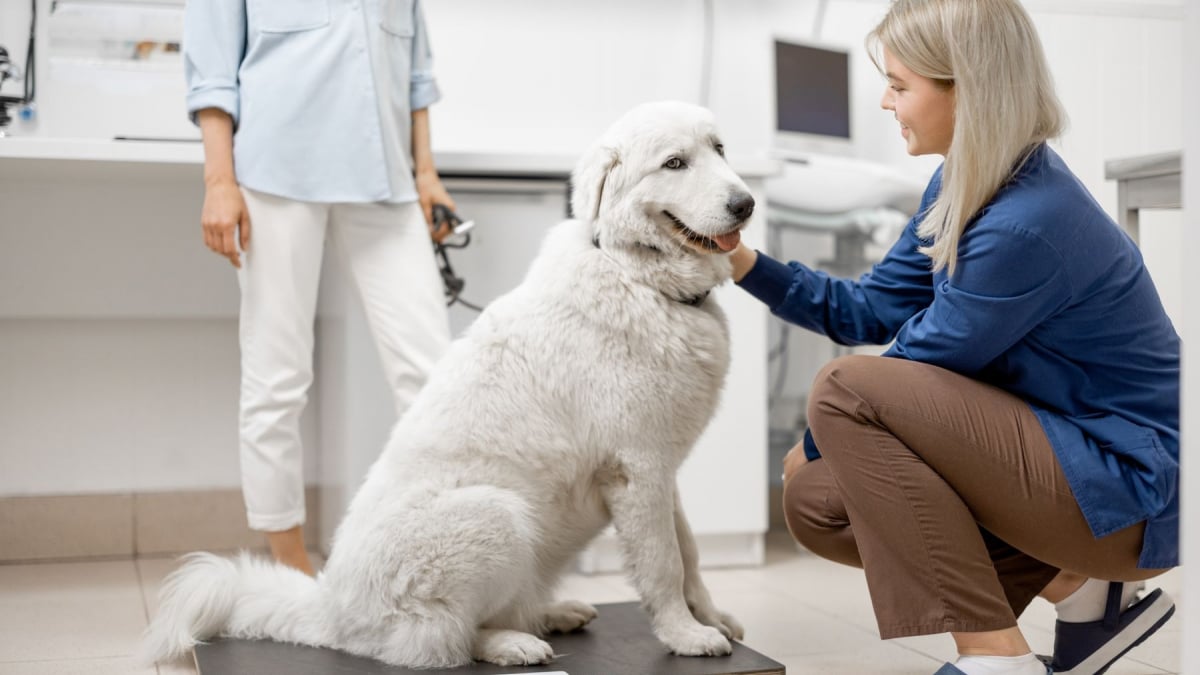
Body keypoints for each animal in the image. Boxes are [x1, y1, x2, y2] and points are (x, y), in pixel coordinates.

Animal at [140, 99, 753, 667]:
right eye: (674, 163)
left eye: (719, 149)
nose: (746, 203)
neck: (640, 279)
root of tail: (330, 609)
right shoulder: (637, 469)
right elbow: (663, 564)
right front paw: (685, 635)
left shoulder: (660, 470)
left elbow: (690, 554)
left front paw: (710, 616)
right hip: (496, 515)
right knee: (438, 641)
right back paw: (513, 644)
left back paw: (553, 613)